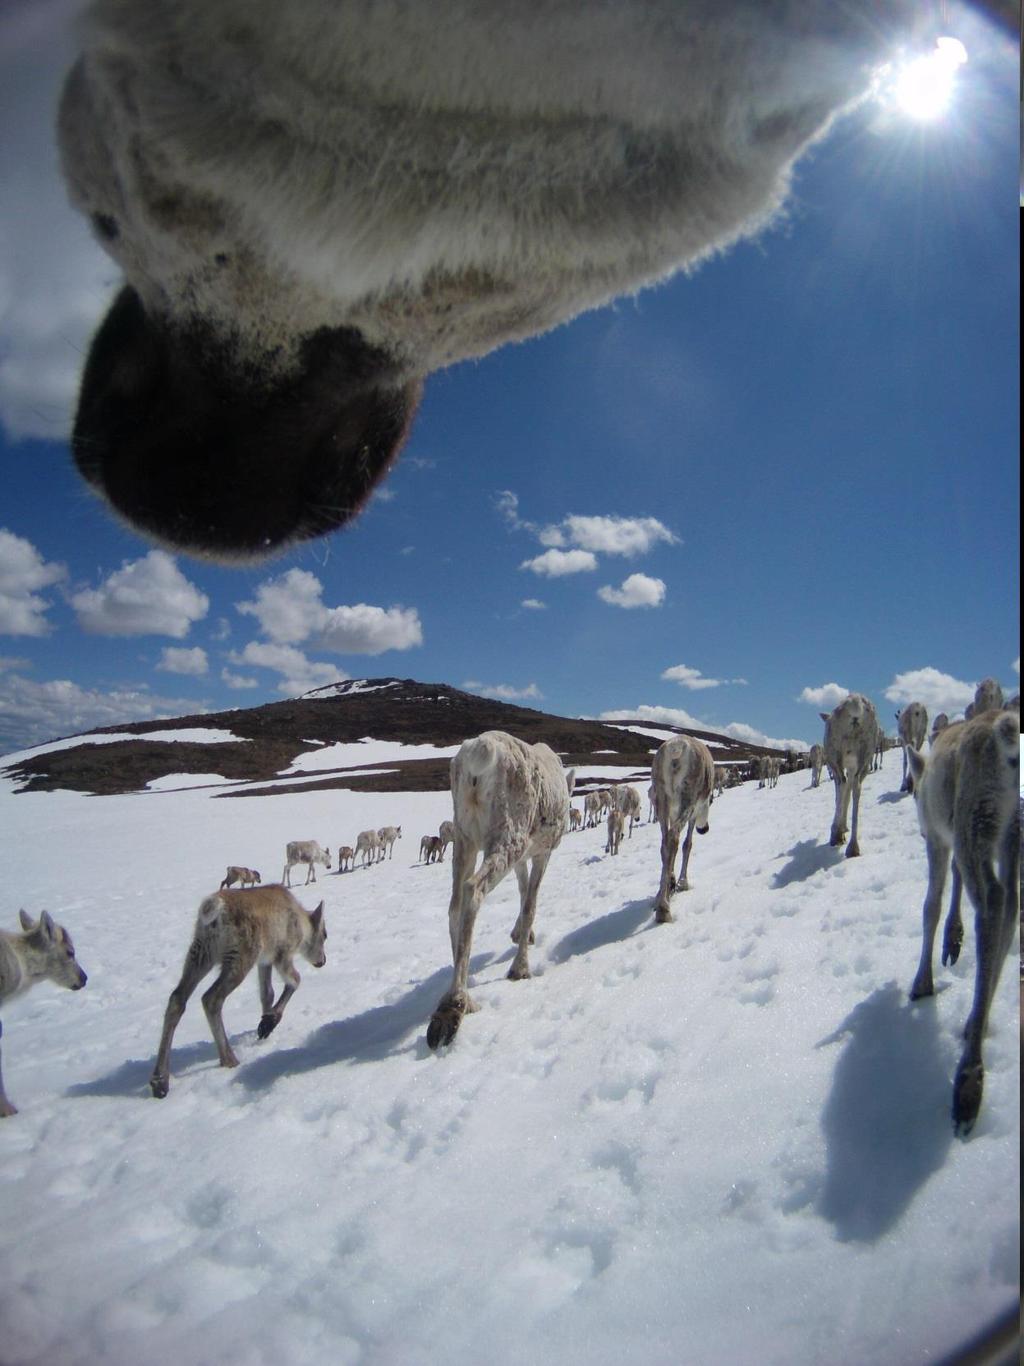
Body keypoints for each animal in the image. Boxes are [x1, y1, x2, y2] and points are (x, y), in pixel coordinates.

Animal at [150, 885, 326, 1098]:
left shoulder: (264, 960)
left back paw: (160, 1080)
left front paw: (265, 1025)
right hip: (240, 955)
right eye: (325, 935)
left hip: (200, 952)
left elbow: (267, 993)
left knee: (177, 999)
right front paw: (270, 1021)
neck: (301, 923)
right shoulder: (281, 954)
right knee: (211, 998)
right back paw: (228, 1059)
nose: (323, 961)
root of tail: (214, 909)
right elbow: (295, 981)